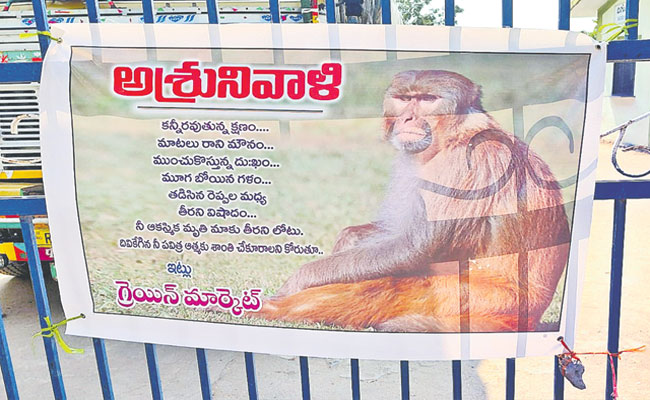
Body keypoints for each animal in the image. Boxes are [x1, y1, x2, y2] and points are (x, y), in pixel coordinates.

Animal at [254, 70, 571, 332]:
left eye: (428, 99)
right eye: (405, 99)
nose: (407, 118)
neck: (452, 138)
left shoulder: (463, 165)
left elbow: (416, 247)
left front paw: (300, 279)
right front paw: (348, 238)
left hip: (481, 301)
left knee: (389, 286)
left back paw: (272, 309)